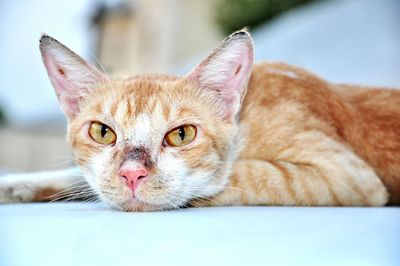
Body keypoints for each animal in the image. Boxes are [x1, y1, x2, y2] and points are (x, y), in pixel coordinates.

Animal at [0, 29, 400, 212]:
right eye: (102, 132)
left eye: (182, 135)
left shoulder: (349, 176)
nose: (132, 174)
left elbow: (242, 175)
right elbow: (80, 179)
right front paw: (16, 185)